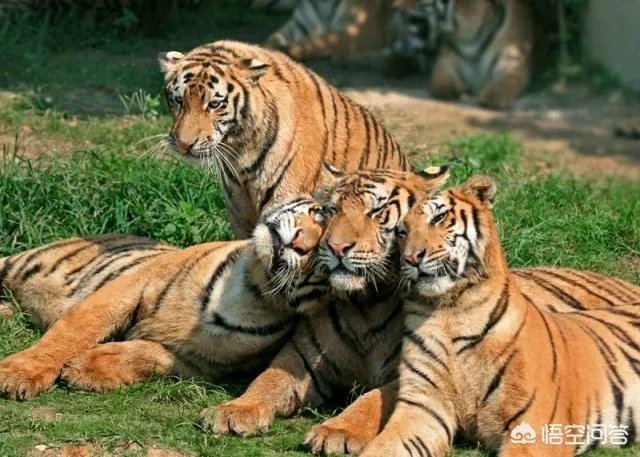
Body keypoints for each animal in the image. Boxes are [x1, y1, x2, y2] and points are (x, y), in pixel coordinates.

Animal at [0, 198, 328, 400]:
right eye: (318, 214)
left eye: (322, 259)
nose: (299, 242)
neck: (254, 290)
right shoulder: (129, 286)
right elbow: (73, 330)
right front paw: (17, 374)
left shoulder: (203, 365)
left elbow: (151, 356)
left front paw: (88, 368)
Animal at [158, 40, 408, 239]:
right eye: (178, 100)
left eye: (214, 104)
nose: (184, 144)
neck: (240, 151)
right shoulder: (239, 210)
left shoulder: (285, 203)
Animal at [360, 174, 640, 457]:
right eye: (401, 232)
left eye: (438, 218)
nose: (411, 258)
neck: (449, 311)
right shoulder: (423, 407)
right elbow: (383, 449)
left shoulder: (536, 426)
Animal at [391, 0, 534, 110]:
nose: (395, 7)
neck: (468, 36)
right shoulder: (445, 62)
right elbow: (443, 78)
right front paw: (447, 90)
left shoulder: (512, 62)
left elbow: (505, 81)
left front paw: (495, 98)